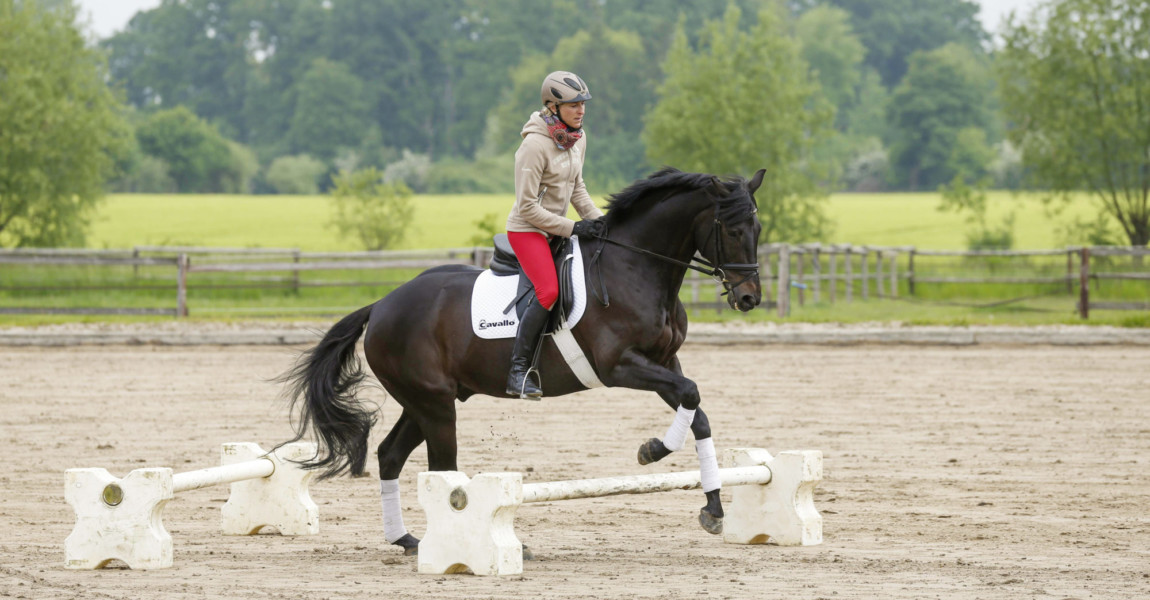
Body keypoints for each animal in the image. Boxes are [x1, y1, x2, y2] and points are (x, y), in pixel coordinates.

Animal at [277, 165, 763, 554]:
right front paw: (653, 450)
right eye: (732, 230)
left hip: (425, 401)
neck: (636, 267)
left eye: (758, 230)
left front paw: (713, 506)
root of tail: (380, 305)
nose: (749, 299)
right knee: (441, 468)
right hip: (433, 403)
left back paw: (407, 540)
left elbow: (696, 411)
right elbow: (690, 395)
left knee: (390, 455)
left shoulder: (665, 362)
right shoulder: (619, 366)